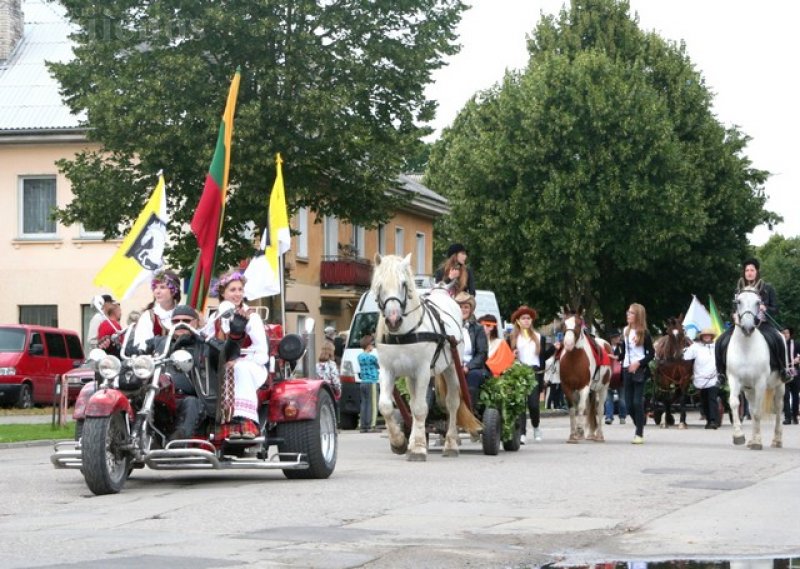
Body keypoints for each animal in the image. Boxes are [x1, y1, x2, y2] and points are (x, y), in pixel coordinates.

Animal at [372, 255, 478, 460]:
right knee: (413, 404)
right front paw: (399, 442)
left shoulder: (422, 370)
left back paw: (451, 444)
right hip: (411, 376)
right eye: (379, 285)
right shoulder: (388, 370)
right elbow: (386, 406)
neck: (403, 334)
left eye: (404, 284)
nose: (393, 320)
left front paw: (419, 449)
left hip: (451, 367)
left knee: (452, 402)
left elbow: (421, 409)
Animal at [556, 312, 612, 442]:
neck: (574, 358)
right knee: (590, 407)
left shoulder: (584, 386)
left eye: (578, 324)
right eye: (563, 323)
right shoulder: (567, 387)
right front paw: (573, 435)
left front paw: (580, 430)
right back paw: (590, 434)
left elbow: (581, 407)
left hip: (603, 388)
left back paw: (599, 435)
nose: (568, 344)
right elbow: (572, 409)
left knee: (600, 409)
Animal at [728, 286, 784, 450]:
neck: (746, 348)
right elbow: (735, 403)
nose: (748, 328)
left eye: (758, 302)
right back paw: (752, 439)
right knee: (752, 410)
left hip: (780, 386)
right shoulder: (734, 379)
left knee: (778, 408)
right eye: (738, 302)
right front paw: (739, 436)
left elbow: (758, 412)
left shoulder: (760, 383)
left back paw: (776, 440)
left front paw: (758, 442)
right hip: (749, 390)